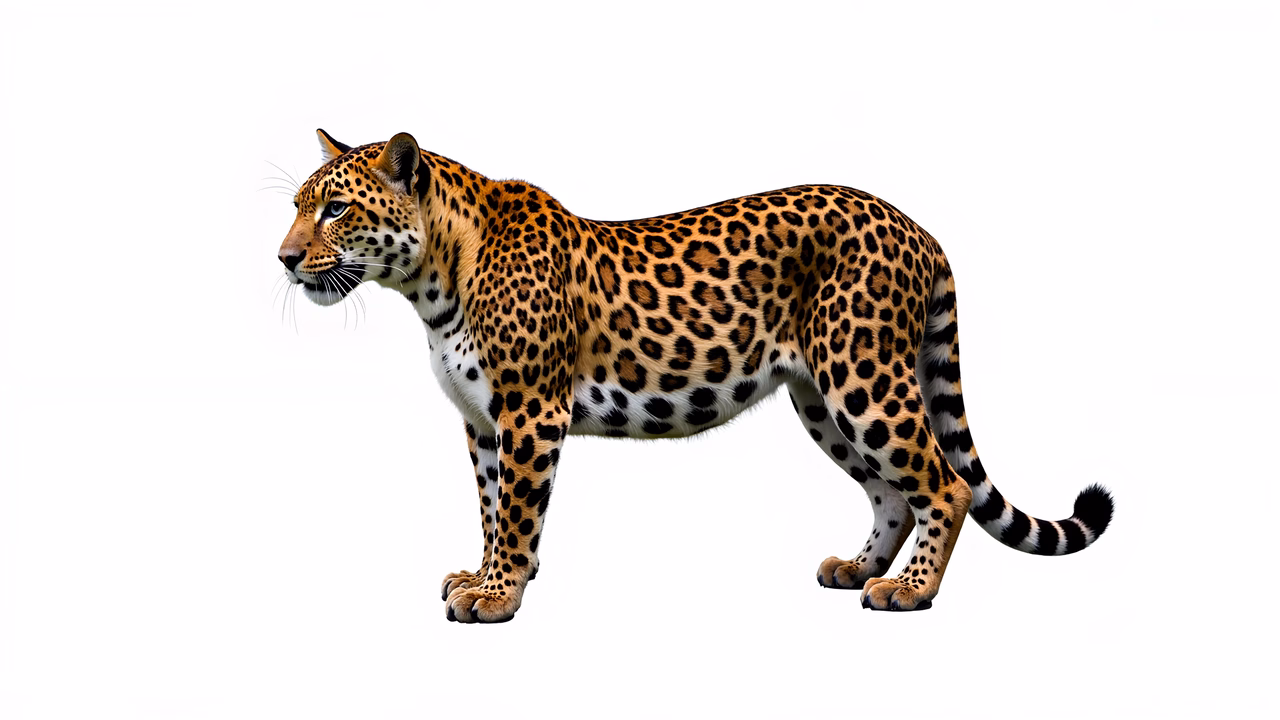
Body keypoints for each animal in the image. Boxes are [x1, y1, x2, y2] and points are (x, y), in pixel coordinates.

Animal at [275, 129, 1113, 622]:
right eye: (297, 205)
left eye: (336, 210)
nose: (283, 259)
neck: (431, 282)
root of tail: (920, 228)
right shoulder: (483, 422)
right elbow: (488, 506)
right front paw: (483, 576)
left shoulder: (530, 414)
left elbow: (516, 512)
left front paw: (500, 594)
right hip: (820, 398)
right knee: (890, 492)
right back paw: (857, 568)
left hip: (864, 375)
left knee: (943, 483)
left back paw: (909, 592)